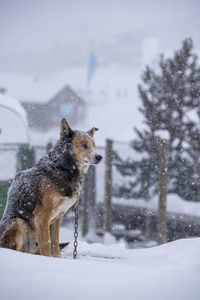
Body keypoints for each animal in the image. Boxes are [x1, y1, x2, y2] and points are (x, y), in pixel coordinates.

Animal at [0, 118, 101, 256]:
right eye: (84, 145)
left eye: (94, 146)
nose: (99, 157)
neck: (62, 168)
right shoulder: (42, 216)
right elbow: (47, 244)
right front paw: (48, 259)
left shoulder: (58, 217)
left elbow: (55, 244)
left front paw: (57, 259)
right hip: (18, 222)